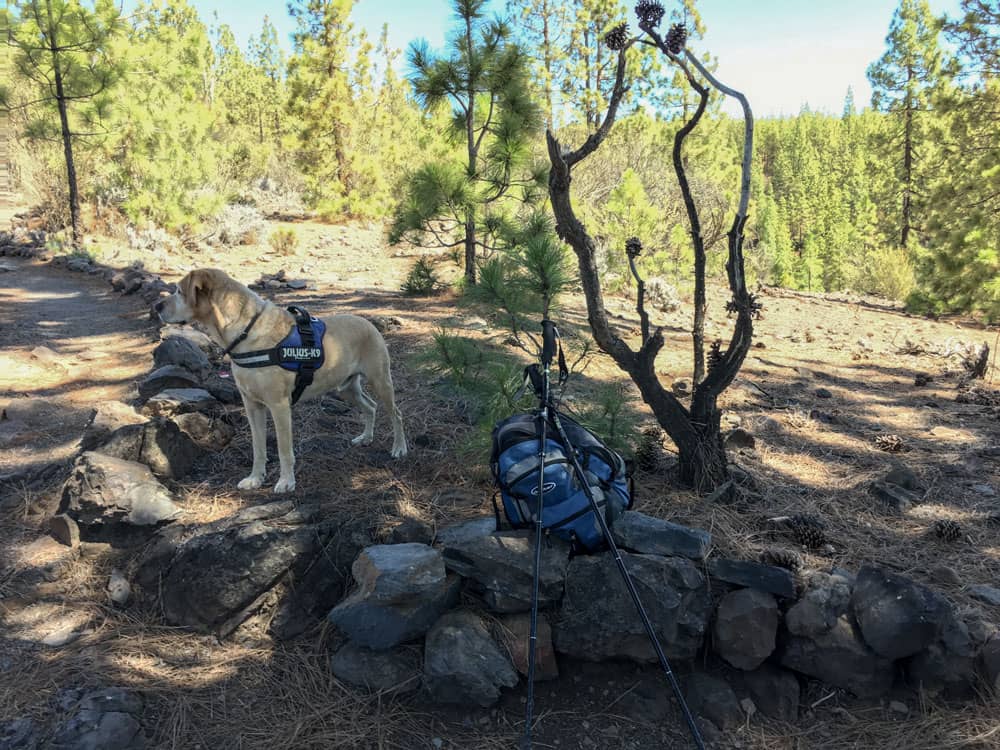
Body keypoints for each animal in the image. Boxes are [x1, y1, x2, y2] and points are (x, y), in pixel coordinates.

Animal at [156, 268, 406, 494]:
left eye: (179, 291)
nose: (157, 307)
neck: (246, 332)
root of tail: (367, 322)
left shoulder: (279, 406)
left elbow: (284, 449)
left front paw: (286, 482)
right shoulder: (252, 406)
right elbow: (258, 448)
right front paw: (255, 479)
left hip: (381, 381)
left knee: (396, 413)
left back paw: (399, 448)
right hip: (346, 388)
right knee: (370, 407)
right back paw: (366, 437)